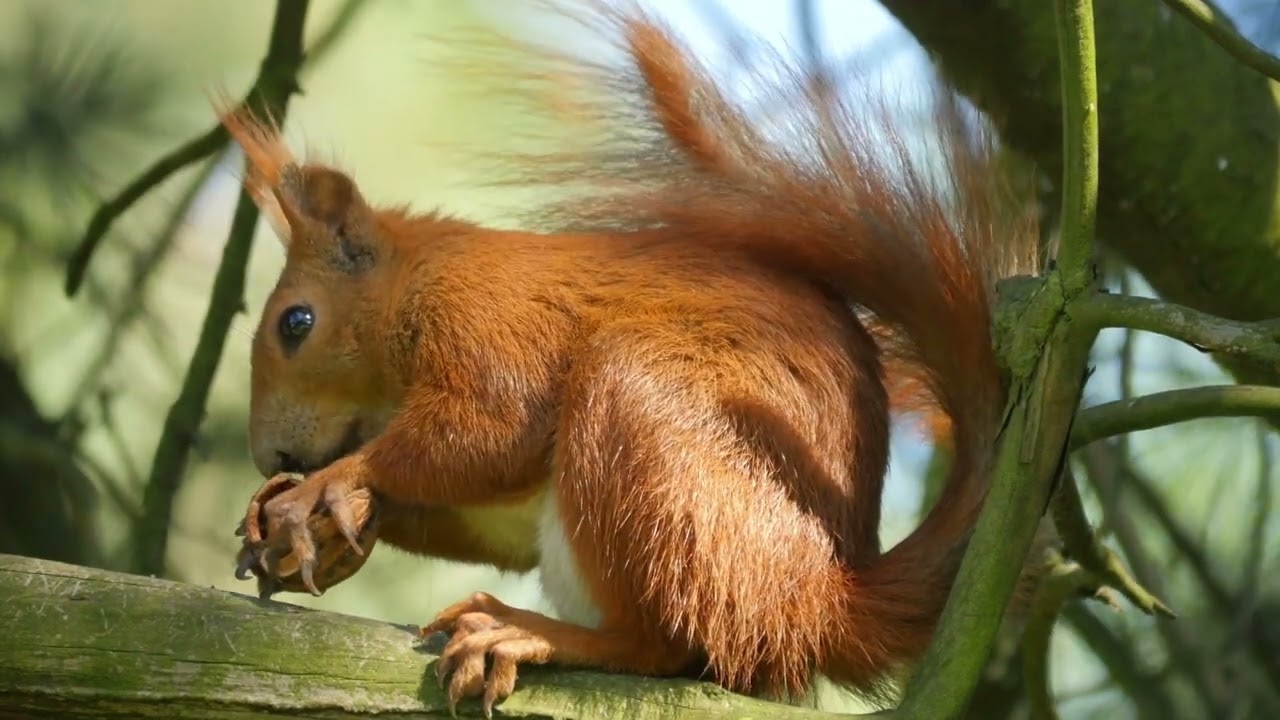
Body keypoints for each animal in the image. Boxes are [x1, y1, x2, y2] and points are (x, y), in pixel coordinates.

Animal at [224, 1, 1041, 715]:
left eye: (296, 322)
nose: (272, 457)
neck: (415, 283)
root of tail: (819, 606)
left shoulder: (490, 322)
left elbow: (490, 432)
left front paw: (328, 485)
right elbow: (491, 517)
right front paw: (329, 519)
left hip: (645, 436)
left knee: (664, 647)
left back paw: (528, 632)